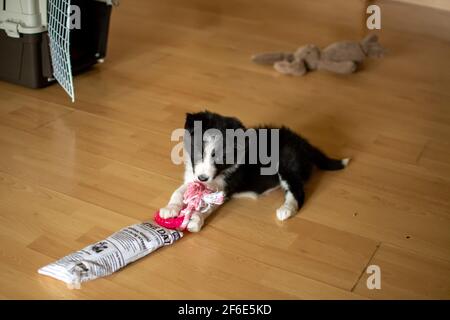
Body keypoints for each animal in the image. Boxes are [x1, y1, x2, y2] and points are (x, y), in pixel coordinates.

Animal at [160, 111, 350, 231]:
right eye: (198, 151)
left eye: (220, 156)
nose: (203, 178)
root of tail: (303, 142)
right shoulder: (194, 179)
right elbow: (179, 192)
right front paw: (170, 208)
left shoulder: (224, 188)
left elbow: (209, 205)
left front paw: (196, 219)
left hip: (286, 165)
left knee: (297, 191)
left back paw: (286, 210)